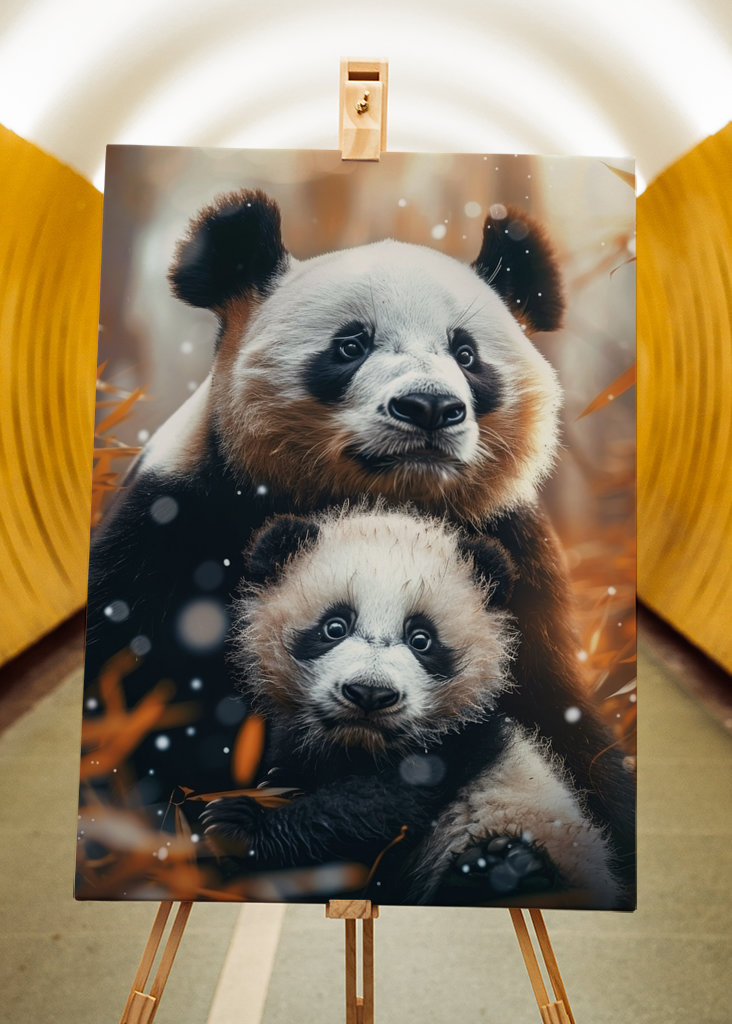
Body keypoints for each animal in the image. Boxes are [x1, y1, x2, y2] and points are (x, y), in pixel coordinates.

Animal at [201, 506, 622, 909]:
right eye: (334, 627)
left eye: (421, 639)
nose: (369, 694)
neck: (360, 746)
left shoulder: (460, 743)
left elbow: (376, 807)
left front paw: (236, 825)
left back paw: (497, 870)